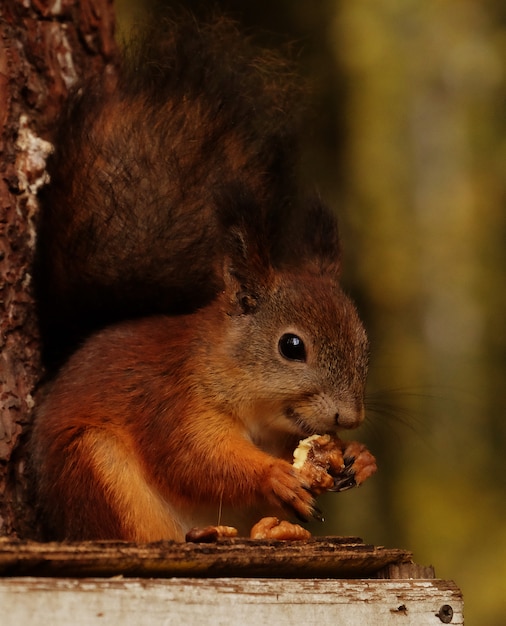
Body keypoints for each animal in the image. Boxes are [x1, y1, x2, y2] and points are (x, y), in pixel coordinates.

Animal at [28, 12, 376, 540]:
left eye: (364, 344)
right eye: (291, 346)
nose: (349, 418)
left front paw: (359, 455)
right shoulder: (170, 401)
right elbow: (193, 458)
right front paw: (272, 474)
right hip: (95, 465)